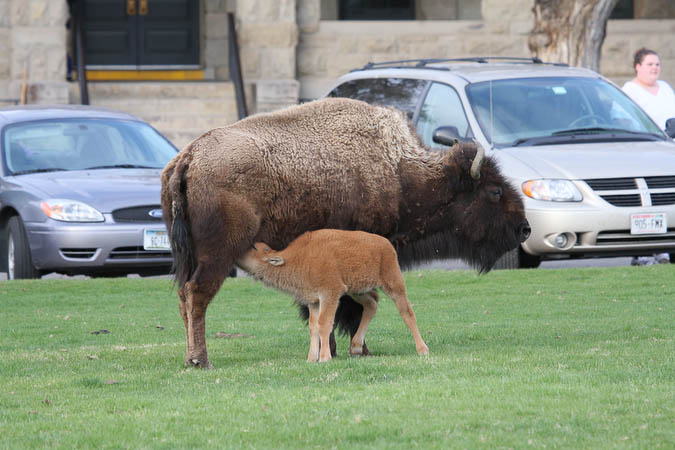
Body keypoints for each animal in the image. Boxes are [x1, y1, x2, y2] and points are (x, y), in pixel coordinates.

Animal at [236, 229, 428, 362]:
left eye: (257, 247)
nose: (240, 249)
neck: (300, 257)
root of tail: (386, 244)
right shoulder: (314, 301)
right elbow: (313, 326)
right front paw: (311, 358)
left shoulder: (330, 295)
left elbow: (324, 323)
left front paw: (324, 358)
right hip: (356, 291)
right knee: (372, 303)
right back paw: (356, 347)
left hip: (393, 283)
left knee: (407, 312)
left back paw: (422, 349)